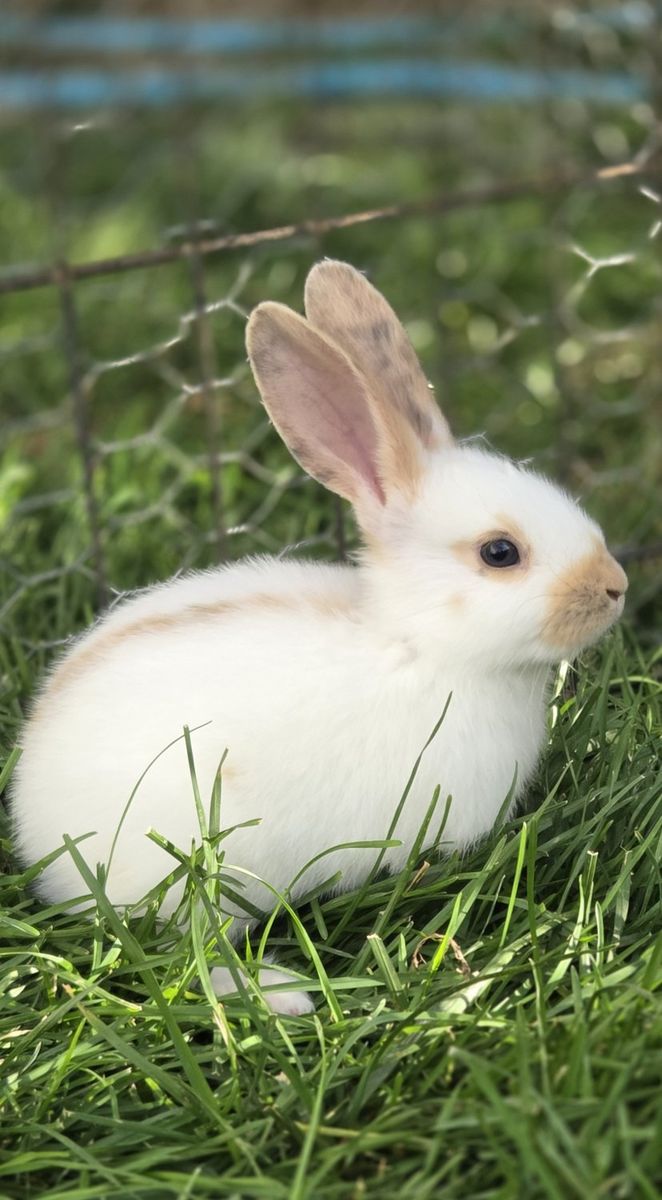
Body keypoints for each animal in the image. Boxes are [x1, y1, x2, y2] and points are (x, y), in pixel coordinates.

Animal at [11, 260, 628, 1016]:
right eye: (500, 553)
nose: (614, 586)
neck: (419, 642)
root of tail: (31, 823)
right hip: (192, 874)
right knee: (183, 955)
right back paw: (280, 992)